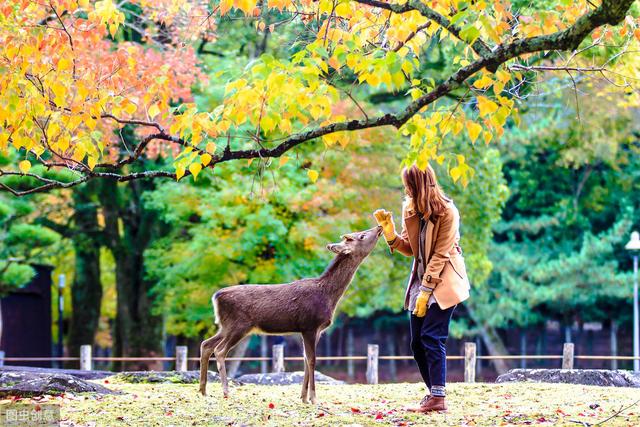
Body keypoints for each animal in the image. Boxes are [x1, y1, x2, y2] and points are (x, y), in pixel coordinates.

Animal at [198, 226, 382, 402]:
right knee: (219, 350)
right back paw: (225, 391)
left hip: (225, 326)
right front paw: (313, 398)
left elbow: (305, 359)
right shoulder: (309, 325)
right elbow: (312, 360)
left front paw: (303, 397)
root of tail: (216, 297)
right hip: (239, 325)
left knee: (206, 344)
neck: (328, 296)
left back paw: (203, 390)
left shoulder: (315, 330)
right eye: (361, 236)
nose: (379, 227)